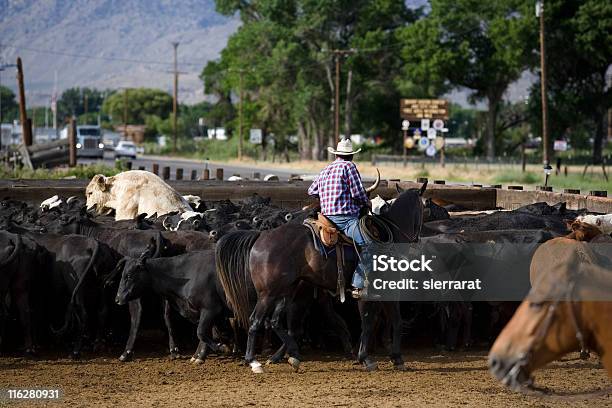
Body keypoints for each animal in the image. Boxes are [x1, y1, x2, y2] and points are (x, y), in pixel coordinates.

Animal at [215, 178, 426, 372]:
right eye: (425, 208)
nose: (417, 240)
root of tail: (261, 236)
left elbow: (381, 321)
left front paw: (389, 357)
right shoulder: (379, 292)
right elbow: (376, 322)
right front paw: (373, 358)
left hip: (288, 291)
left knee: (276, 322)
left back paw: (290, 356)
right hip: (269, 294)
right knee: (256, 321)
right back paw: (254, 361)